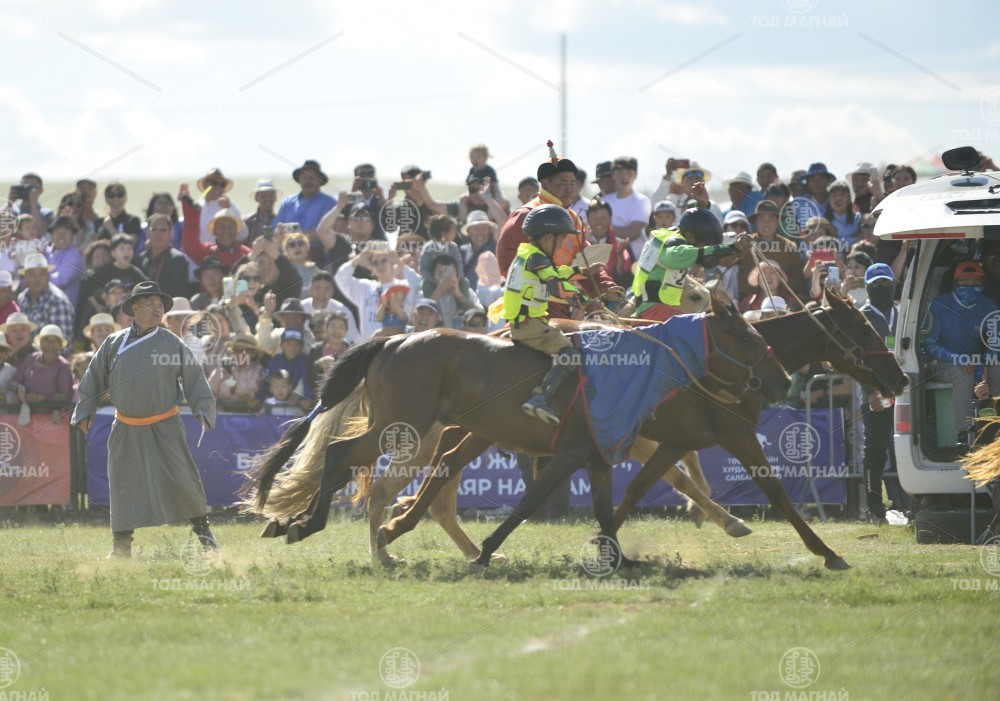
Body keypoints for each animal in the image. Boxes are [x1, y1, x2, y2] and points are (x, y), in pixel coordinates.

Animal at [245, 291, 789, 568]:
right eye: (743, 335)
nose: (783, 379)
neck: (632, 365)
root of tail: (394, 340)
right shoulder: (584, 449)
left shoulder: (599, 452)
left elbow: (615, 501)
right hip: (405, 428)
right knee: (345, 459)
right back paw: (326, 531)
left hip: (418, 433)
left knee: (383, 478)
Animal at [376, 286, 907, 570]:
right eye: (862, 327)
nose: (900, 377)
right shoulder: (733, 436)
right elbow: (774, 493)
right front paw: (826, 551)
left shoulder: (669, 441)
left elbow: (638, 491)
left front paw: (608, 542)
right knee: (441, 464)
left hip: (484, 426)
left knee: (446, 461)